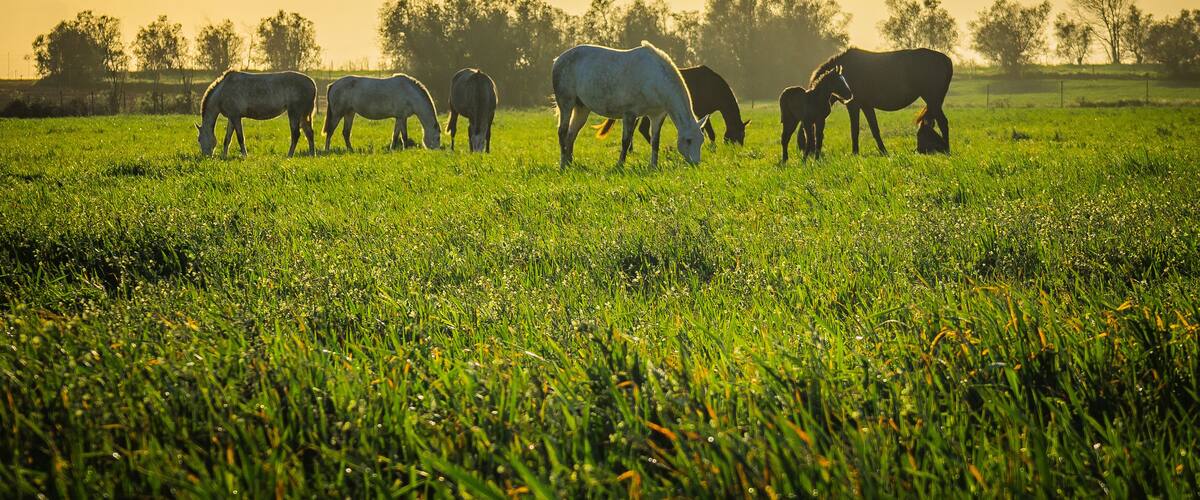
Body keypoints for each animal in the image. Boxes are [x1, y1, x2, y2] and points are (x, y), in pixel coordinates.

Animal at [552, 42, 708, 168]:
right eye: (688, 140)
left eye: (701, 140)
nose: (695, 164)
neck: (654, 78)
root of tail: (558, 59)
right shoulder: (629, 114)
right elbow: (626, 141)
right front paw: (620, 165)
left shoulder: (657, 115)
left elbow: (655, 141)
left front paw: (653, 166)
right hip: (566, 103)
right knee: (562, 131)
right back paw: (563, 164)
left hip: (581, 108)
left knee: (571, 134)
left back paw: (570, 163)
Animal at [594, 65, 749, 146]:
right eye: (740, 134)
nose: (739, 147)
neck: (714, 87)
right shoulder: (701, 111)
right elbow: (710, 132)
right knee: (642, 128)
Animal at [810, 48, 953, 155]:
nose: (814, 152)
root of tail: (946, 60)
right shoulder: (866, 106)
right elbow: (874, 129)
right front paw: (883, 151)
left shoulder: (854, 106)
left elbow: (855, 130)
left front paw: (855, 153)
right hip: (934, 101)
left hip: (932, 99)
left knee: (942, 122)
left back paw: (946, 149)